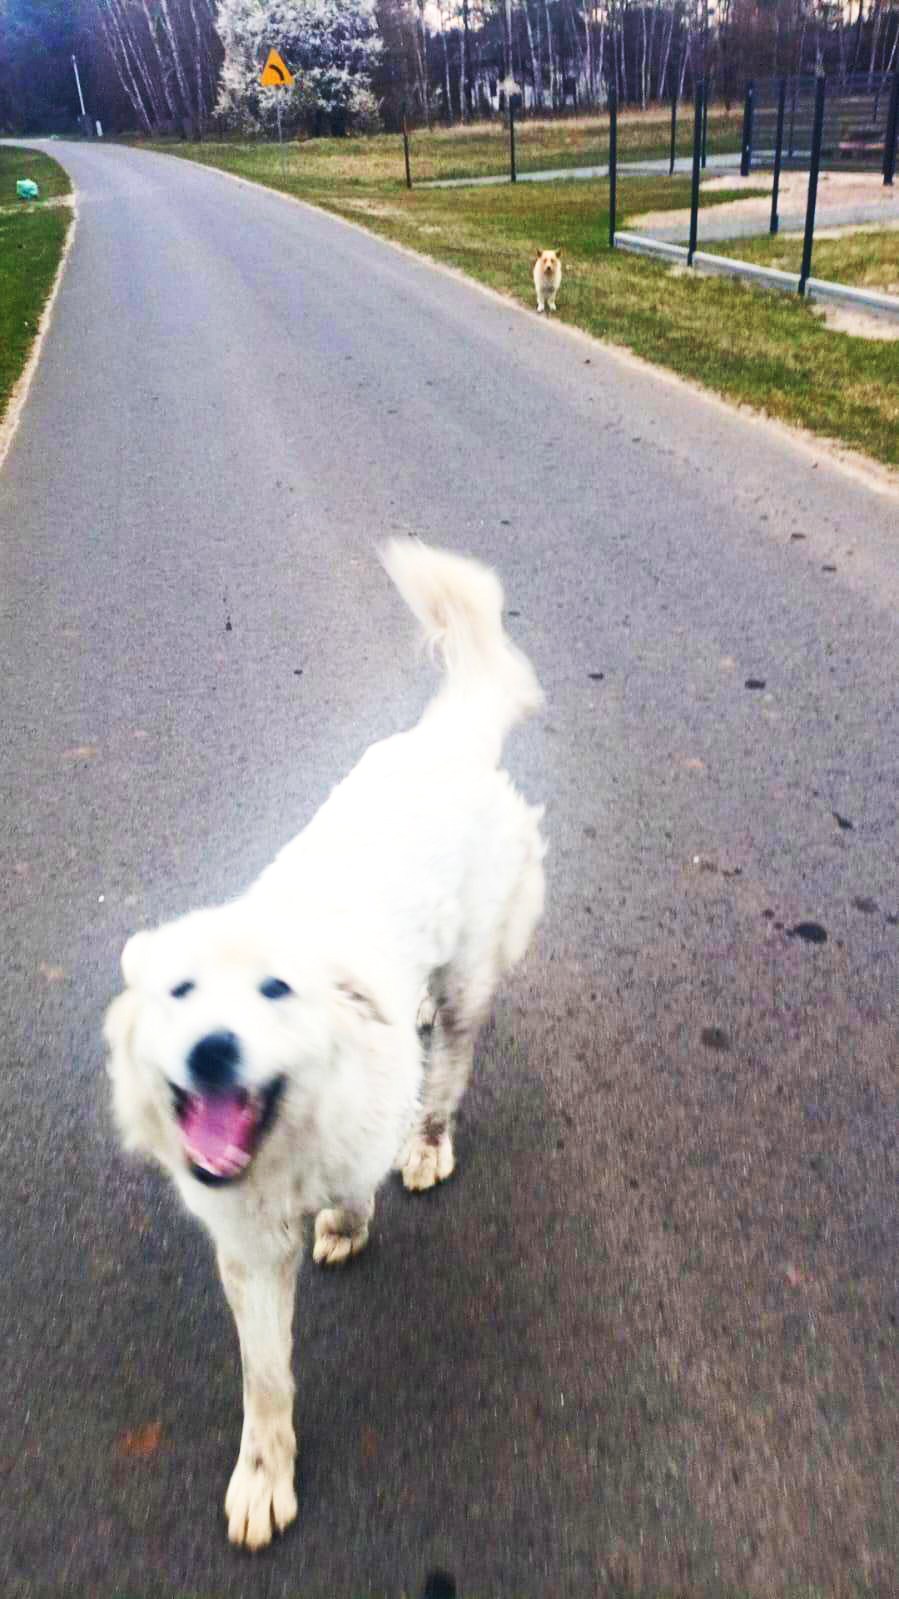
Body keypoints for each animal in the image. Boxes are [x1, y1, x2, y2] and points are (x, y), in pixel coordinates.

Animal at [104, 539, 546, 1549]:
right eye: (180, 991)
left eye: (275, 990)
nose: (213, 1050)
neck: (287, 1139)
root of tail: (442, 740)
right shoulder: (247, 1251)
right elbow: (265, 1378)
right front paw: (263, 1476)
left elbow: (358, 1180)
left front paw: (350, 1216)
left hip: (467, 982)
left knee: (448, 1071)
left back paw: (427, 1142)